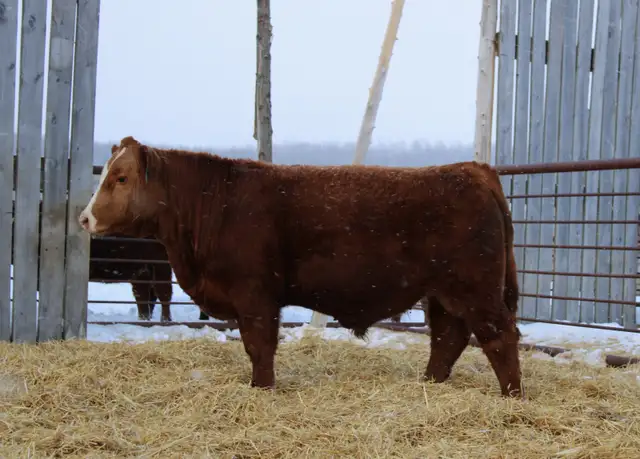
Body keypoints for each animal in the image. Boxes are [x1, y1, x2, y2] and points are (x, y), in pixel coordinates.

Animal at [78, 136, 523, 398]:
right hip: (444, 292)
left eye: (120, 177)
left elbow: (259, 345)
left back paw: (512, 395)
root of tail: (472, 169)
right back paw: (429, 382)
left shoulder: (255, 294)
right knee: (448, 337)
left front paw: (262, 388)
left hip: (475, 287)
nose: (84, 218)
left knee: (500, 335)